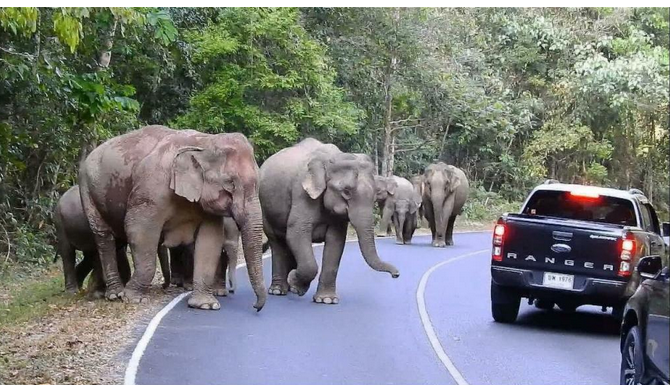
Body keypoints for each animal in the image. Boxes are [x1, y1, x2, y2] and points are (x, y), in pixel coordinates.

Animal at [79, 124, 268, 310]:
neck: (204, 141)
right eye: (230, 183)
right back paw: (115, 294)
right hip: (88, 190)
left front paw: (206, 305)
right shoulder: (152, 188)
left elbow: (210, 240)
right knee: (104, 238)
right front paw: (133, 299)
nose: (256, 306)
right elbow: (139, 230)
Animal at [262, 137, 400, 304]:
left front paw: (326, 300)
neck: (331, 159)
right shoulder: (301, 193)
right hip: (265, 211)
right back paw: (278, 290)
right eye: (346, 191)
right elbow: (297, 233)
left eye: (375, 195)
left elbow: (336, 241)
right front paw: (296, 285)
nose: (396, 275)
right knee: (277, 242)